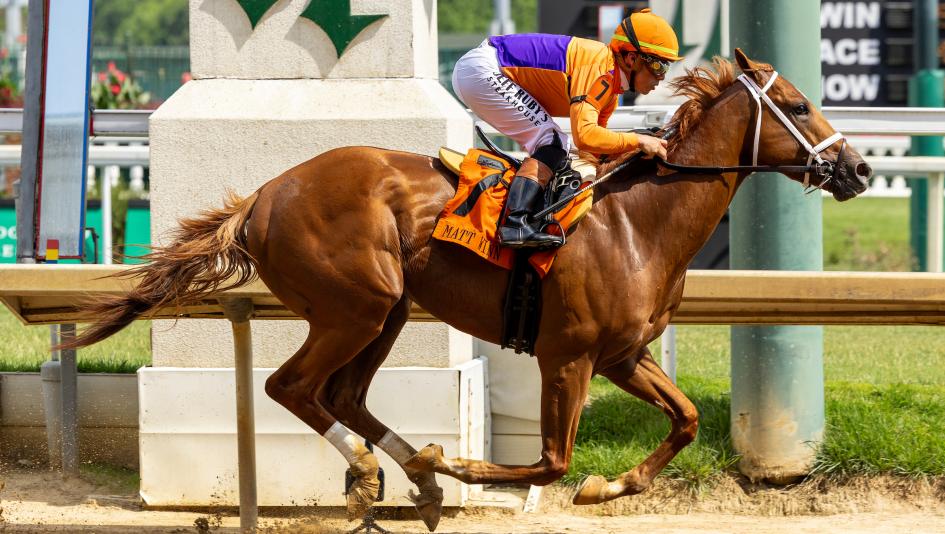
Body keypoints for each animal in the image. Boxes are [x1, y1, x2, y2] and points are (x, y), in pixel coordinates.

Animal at [65, 49, 870, 531]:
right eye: (800, 107)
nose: (859, 169)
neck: (637, 222)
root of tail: (264, 194)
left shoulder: (622, 355)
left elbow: (687, 421)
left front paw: (606, 487)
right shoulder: (567, 356)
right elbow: (551, 460)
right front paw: (461, 466)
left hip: (387, 310)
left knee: (343, 394)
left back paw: (407, 477)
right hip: (356, 304)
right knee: (290, 387)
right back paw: (378, 470)